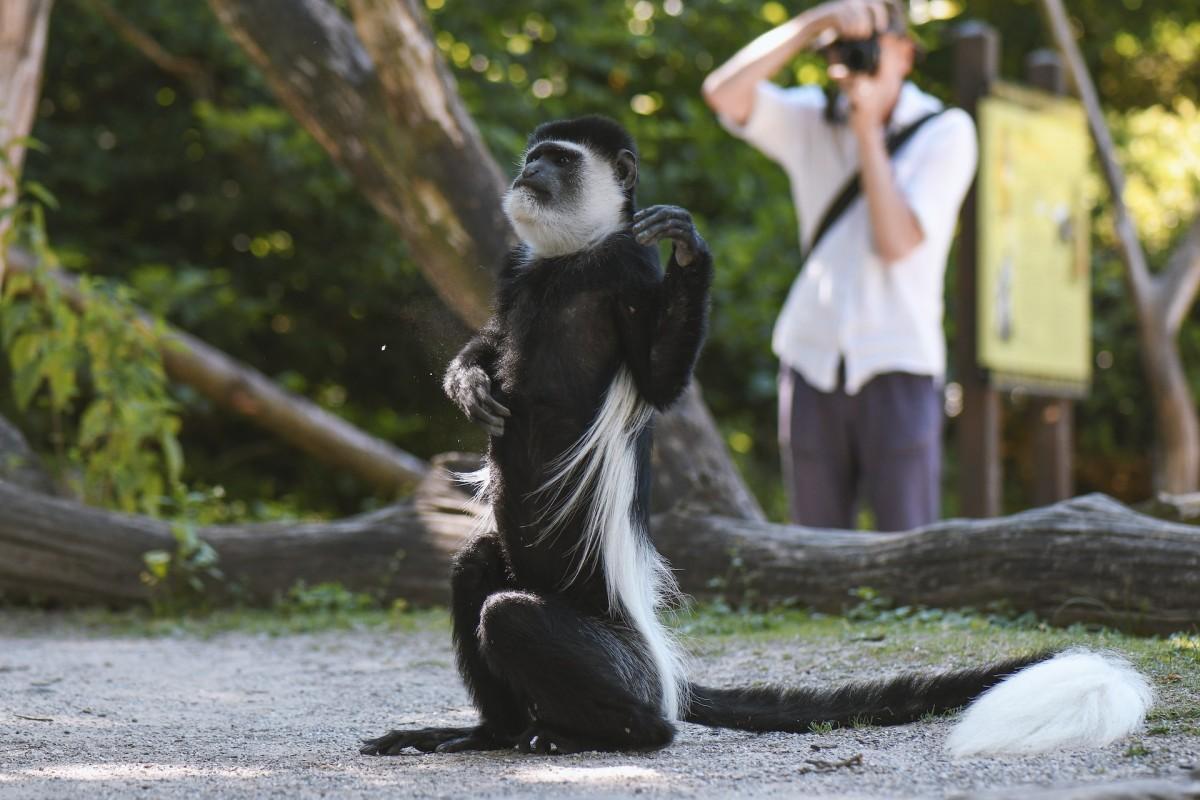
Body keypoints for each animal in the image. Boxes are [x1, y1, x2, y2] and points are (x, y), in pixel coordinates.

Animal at [357, 117, 1152, 758]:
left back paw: (600, 734)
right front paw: (467, 381)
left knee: (514, 617)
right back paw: (485, 732)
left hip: (619, 657)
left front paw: (691, 251)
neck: (568, 262)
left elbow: (659, 381)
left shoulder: (627, 273)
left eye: (557, 158)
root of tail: (663, 676)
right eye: (533, 155)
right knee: (475, 572)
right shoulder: (516, 270)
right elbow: (494, 343)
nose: (527, 173)